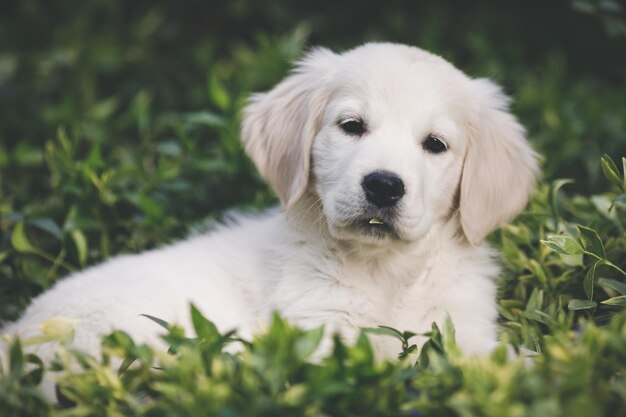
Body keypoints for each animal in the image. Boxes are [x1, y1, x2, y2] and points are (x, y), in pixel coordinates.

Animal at [1, 43, 536, 396]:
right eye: (352, 126)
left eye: (435, 145)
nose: (383, 185)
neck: (385, 272)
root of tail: (16, 336)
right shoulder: (321, 342)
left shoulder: (460, 331)